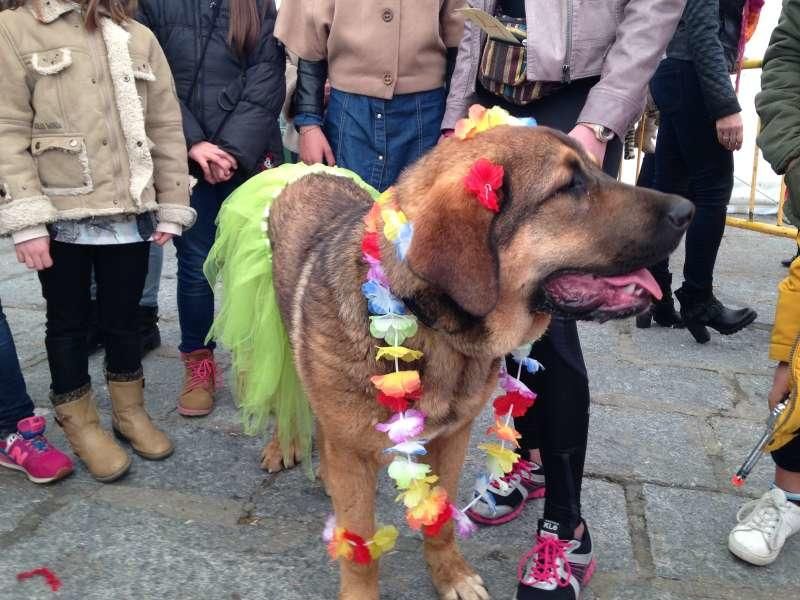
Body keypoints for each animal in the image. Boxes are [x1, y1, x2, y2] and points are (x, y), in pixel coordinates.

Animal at [266, 124, 692, 596]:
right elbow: (360, 551)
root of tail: (307, 170)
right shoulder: (356, 459)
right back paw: (283, 447)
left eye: (597, 169)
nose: (688, 210)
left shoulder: (453, 438)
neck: (431, 328)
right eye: (568, 186)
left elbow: (441, 521)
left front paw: (450, 574)